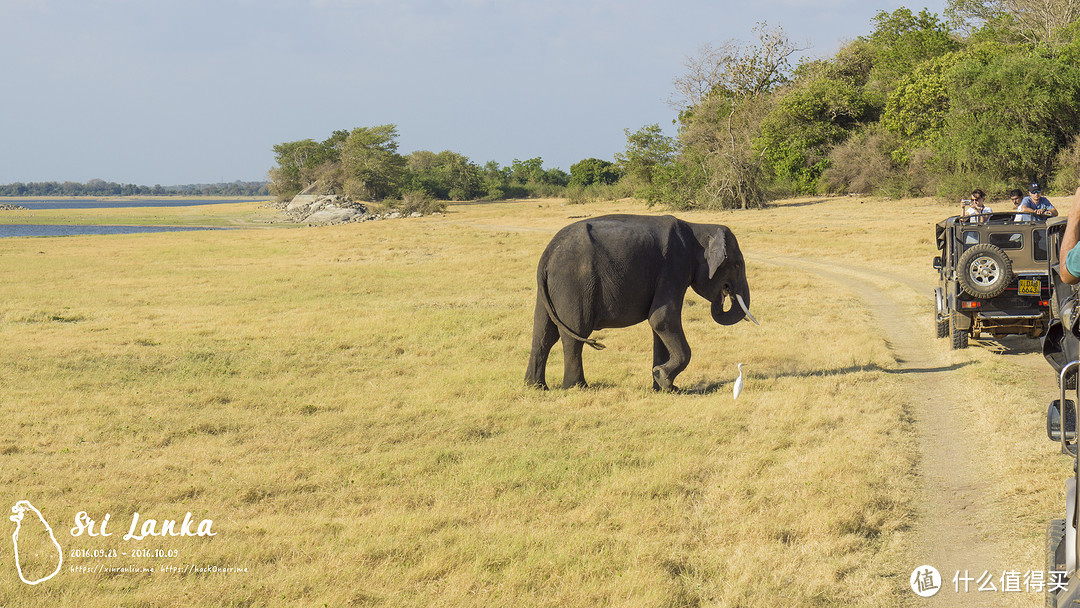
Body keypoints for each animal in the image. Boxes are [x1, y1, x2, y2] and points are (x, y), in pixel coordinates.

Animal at [520, 213, 756, 393]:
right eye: (737, 264)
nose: (726, 292)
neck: (697, 227)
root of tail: (547, 254)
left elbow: (659, 327)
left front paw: (664, 387)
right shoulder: (674, 267)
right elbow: (661, 319)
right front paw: (663, 379)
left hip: (550, 289)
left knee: (543, 333)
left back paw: (536, 387)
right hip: (574, 282)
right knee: (574, 333)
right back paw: (577, 388)